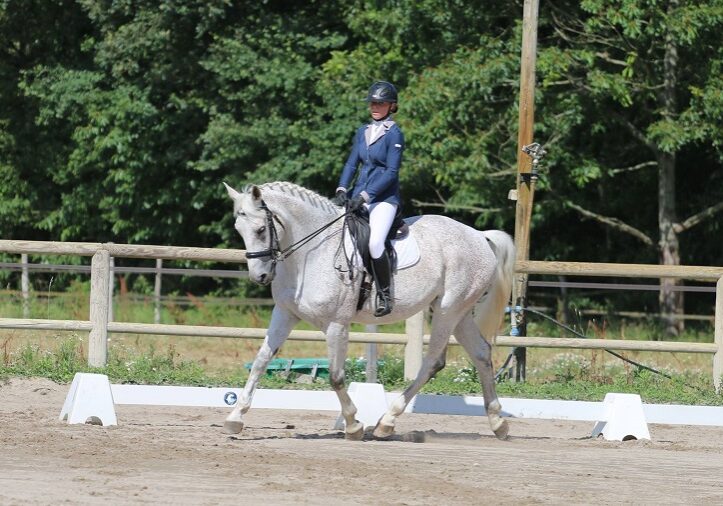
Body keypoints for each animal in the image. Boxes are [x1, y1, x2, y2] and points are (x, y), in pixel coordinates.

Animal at [223, 181, 512, 438]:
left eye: (261, 229)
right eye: (239, 229)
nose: (259, 276)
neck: (310, 254)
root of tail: (479, 236)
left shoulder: (337, 324)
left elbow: (336, 376)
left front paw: (353, 424)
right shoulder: (285, 313)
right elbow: (261, 361)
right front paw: (235, 418)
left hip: (447, 310)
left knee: (432, 361)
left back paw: (387, 422)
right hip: (459, 313)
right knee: (481, 353)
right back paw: (497, 422)